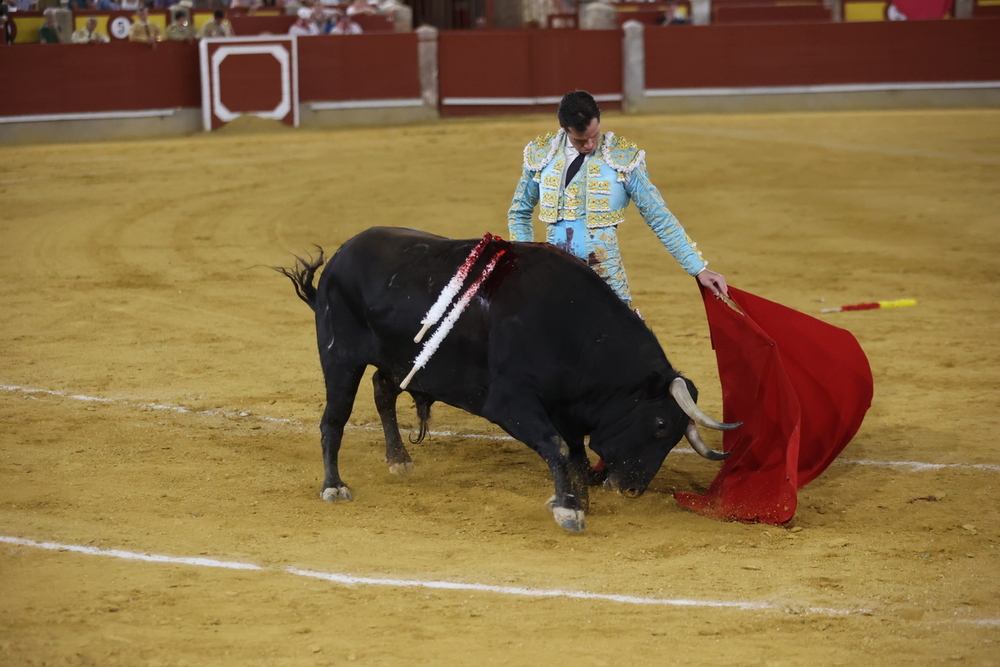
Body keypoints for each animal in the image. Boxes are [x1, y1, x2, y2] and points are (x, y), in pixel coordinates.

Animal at [278, 228, 740, 532]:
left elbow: (573, 454)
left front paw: (576, 501)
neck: (571, 327)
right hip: (340, 358)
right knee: (334, 419)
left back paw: (399, 460)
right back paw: (335, 486)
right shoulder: (510, 403)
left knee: (382, 390)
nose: (631, 489)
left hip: (400, 359)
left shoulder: (566, 408)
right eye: (660, 424)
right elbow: (557, 447)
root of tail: (341, 255)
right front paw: (568, 510)